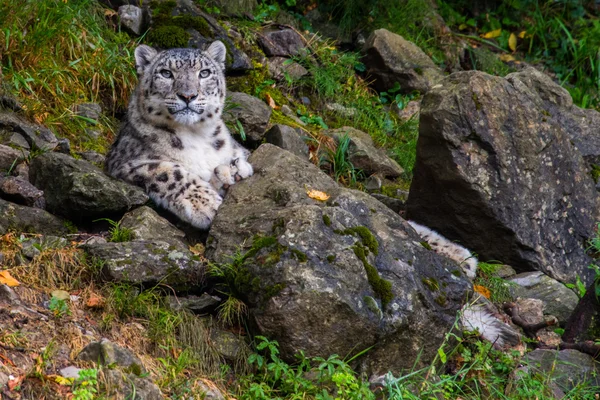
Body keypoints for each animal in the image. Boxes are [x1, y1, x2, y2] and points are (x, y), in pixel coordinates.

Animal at [106, 41, 252, 228]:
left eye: (204, 73)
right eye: (166, 73)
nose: (188, 95)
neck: (196, 134)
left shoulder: (238, 149)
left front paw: (232, 171)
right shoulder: (125, 162)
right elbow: (169, 173)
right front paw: (205, 203)